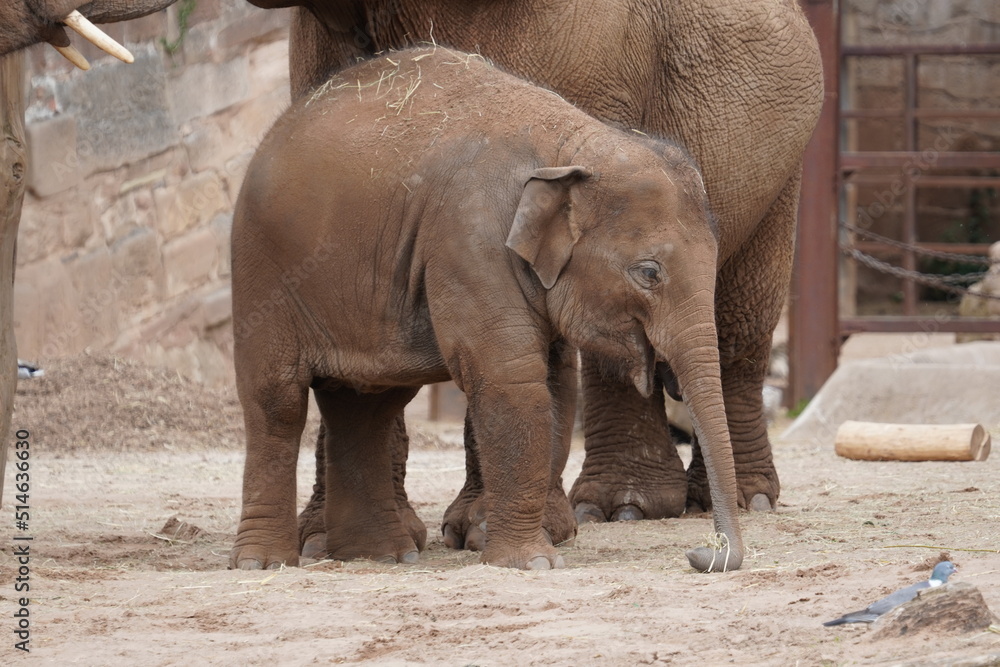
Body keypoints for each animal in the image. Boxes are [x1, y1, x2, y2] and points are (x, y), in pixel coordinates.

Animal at [229, 46, 742, 572]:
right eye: (648, 273)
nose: (701, 552)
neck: (571, 145)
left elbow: (556, 383)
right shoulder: (469, 241)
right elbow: (511, 377)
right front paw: (533, 563)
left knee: (366, 405)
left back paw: (382, 556)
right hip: (261, 271)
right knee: (278, 400)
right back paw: (264, 564)